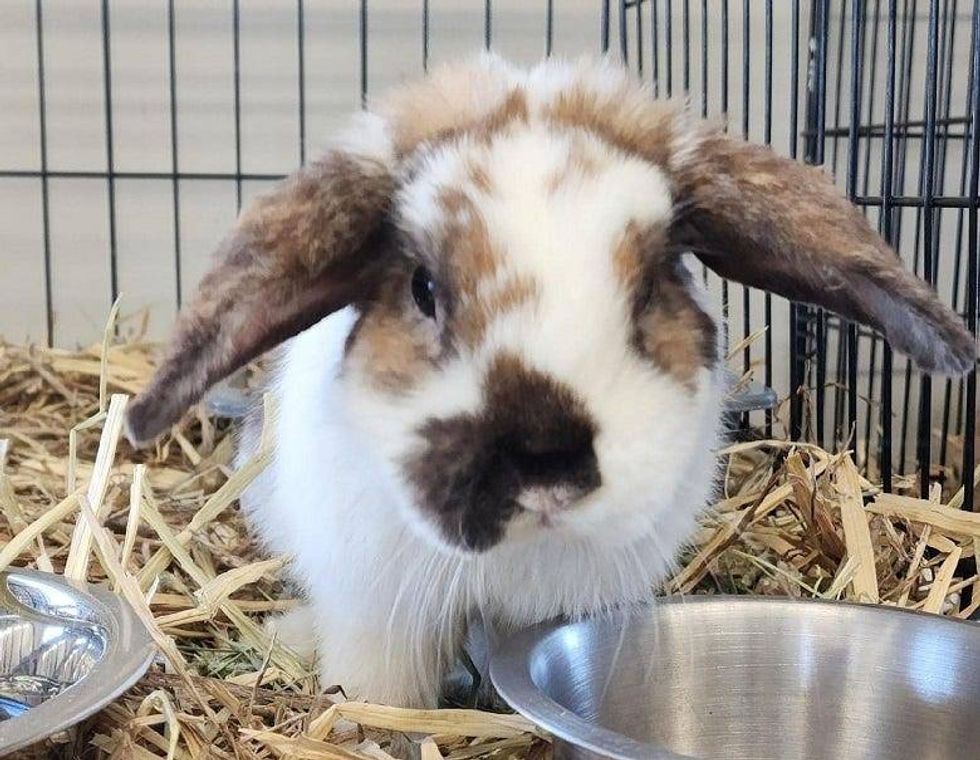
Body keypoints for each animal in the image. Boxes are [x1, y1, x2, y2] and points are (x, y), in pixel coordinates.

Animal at [125, 54, 976, 708]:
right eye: (423, 288)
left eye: (653, 286)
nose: (543, 465)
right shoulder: (374, 604)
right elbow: (381, 690)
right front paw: (365, 714)